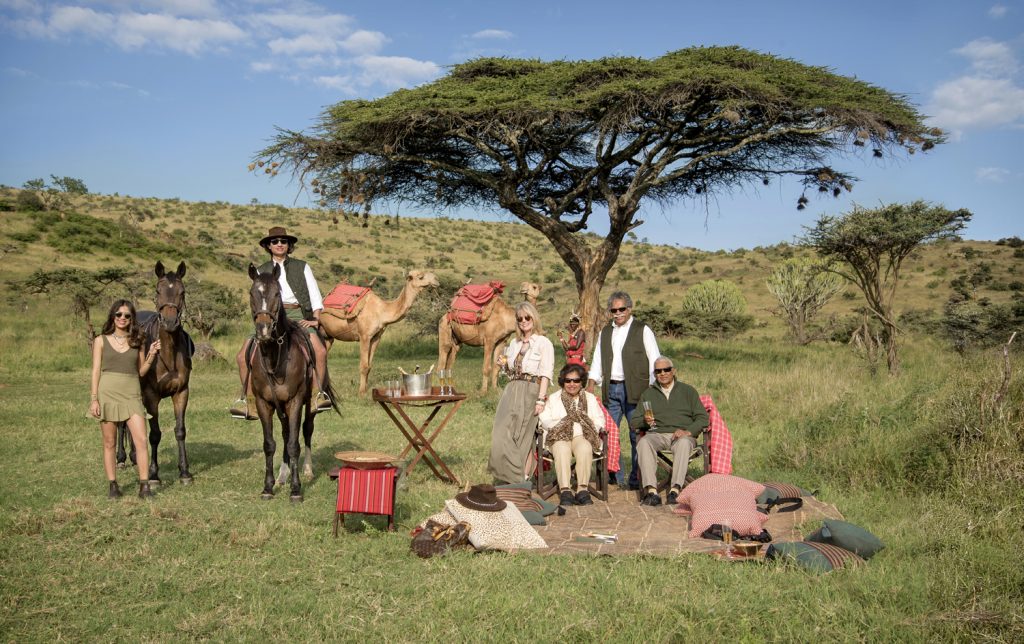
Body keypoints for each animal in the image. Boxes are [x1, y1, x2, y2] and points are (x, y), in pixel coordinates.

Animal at [117, 260, 194, 483]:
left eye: (182, 292)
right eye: (158, 290)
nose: (170, 322)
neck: (167, 354)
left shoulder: (181, 393)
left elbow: (180, 431)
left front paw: (184, 472)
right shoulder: (151, 397)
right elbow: (155, 434)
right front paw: (153, 475)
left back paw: (134, 456)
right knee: (121, 424)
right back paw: (121, 458)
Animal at [245, 264, 337, 499]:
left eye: (277, 294)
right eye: (252, 294)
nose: (263, 330)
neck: (275, 357)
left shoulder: (295, 401)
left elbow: (295, 443)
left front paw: (296, 489)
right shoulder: (264, 403)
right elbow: (270, 444)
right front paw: (268, 487)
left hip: (308, 404)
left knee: (306, 430)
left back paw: (307, 470)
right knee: (286, 433)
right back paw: (282, 475)